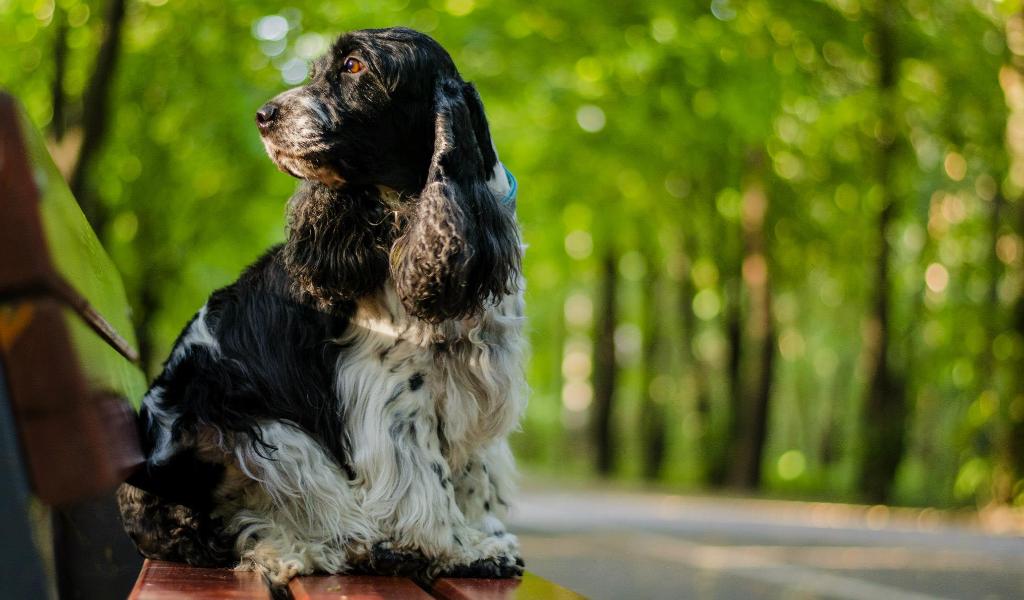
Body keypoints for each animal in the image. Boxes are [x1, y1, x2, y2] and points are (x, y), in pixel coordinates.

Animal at [116, 28, 524, 585]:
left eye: (354, 66)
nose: (263, 114)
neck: (409, 222)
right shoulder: (394, 395)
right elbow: (429, 479)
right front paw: (459, 549)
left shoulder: (475, 386)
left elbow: (473, 475)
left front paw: (484, 536)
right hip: (261, 430)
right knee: (240, 526)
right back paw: (344, 549)